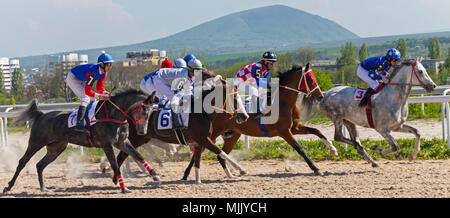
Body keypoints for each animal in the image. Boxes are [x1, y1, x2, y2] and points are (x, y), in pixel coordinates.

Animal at [1, 88, 159, 194]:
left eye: (151, 112)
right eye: (144, 111)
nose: (142, 132)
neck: (114, 115)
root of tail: (41, 115)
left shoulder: (122, 142)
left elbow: (138, 155)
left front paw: (155, 175)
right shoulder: (107, 144)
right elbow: (115, 165)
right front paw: (124, 188)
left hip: (57, 148)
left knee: (40, 165)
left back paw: (43, 187)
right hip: (35, 143)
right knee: (23, 161)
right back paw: (8, 186)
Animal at [113, 70, 250, 183]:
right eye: (234, 98)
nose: (245, 116)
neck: (201, 112)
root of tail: (127, 111)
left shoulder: (199, 141)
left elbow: (197, 160)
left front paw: (197, 180)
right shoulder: (204, 139)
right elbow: (221, 152)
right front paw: (241, 169)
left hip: (141, 139)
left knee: (125, 155)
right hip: (135, 138)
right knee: (123, 155)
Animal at [182, 63, 338, 179]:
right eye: (310, 79)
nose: (320, 96)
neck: (284, 102)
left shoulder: (295, 128)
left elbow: (317, 131)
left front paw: (333, 149)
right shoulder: (284, 132)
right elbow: (300, 149)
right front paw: (316, 169)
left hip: (233, 135)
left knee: (220, 155)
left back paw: (233, 173)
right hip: (212, 132)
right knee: (200, 150)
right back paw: (186, 174)